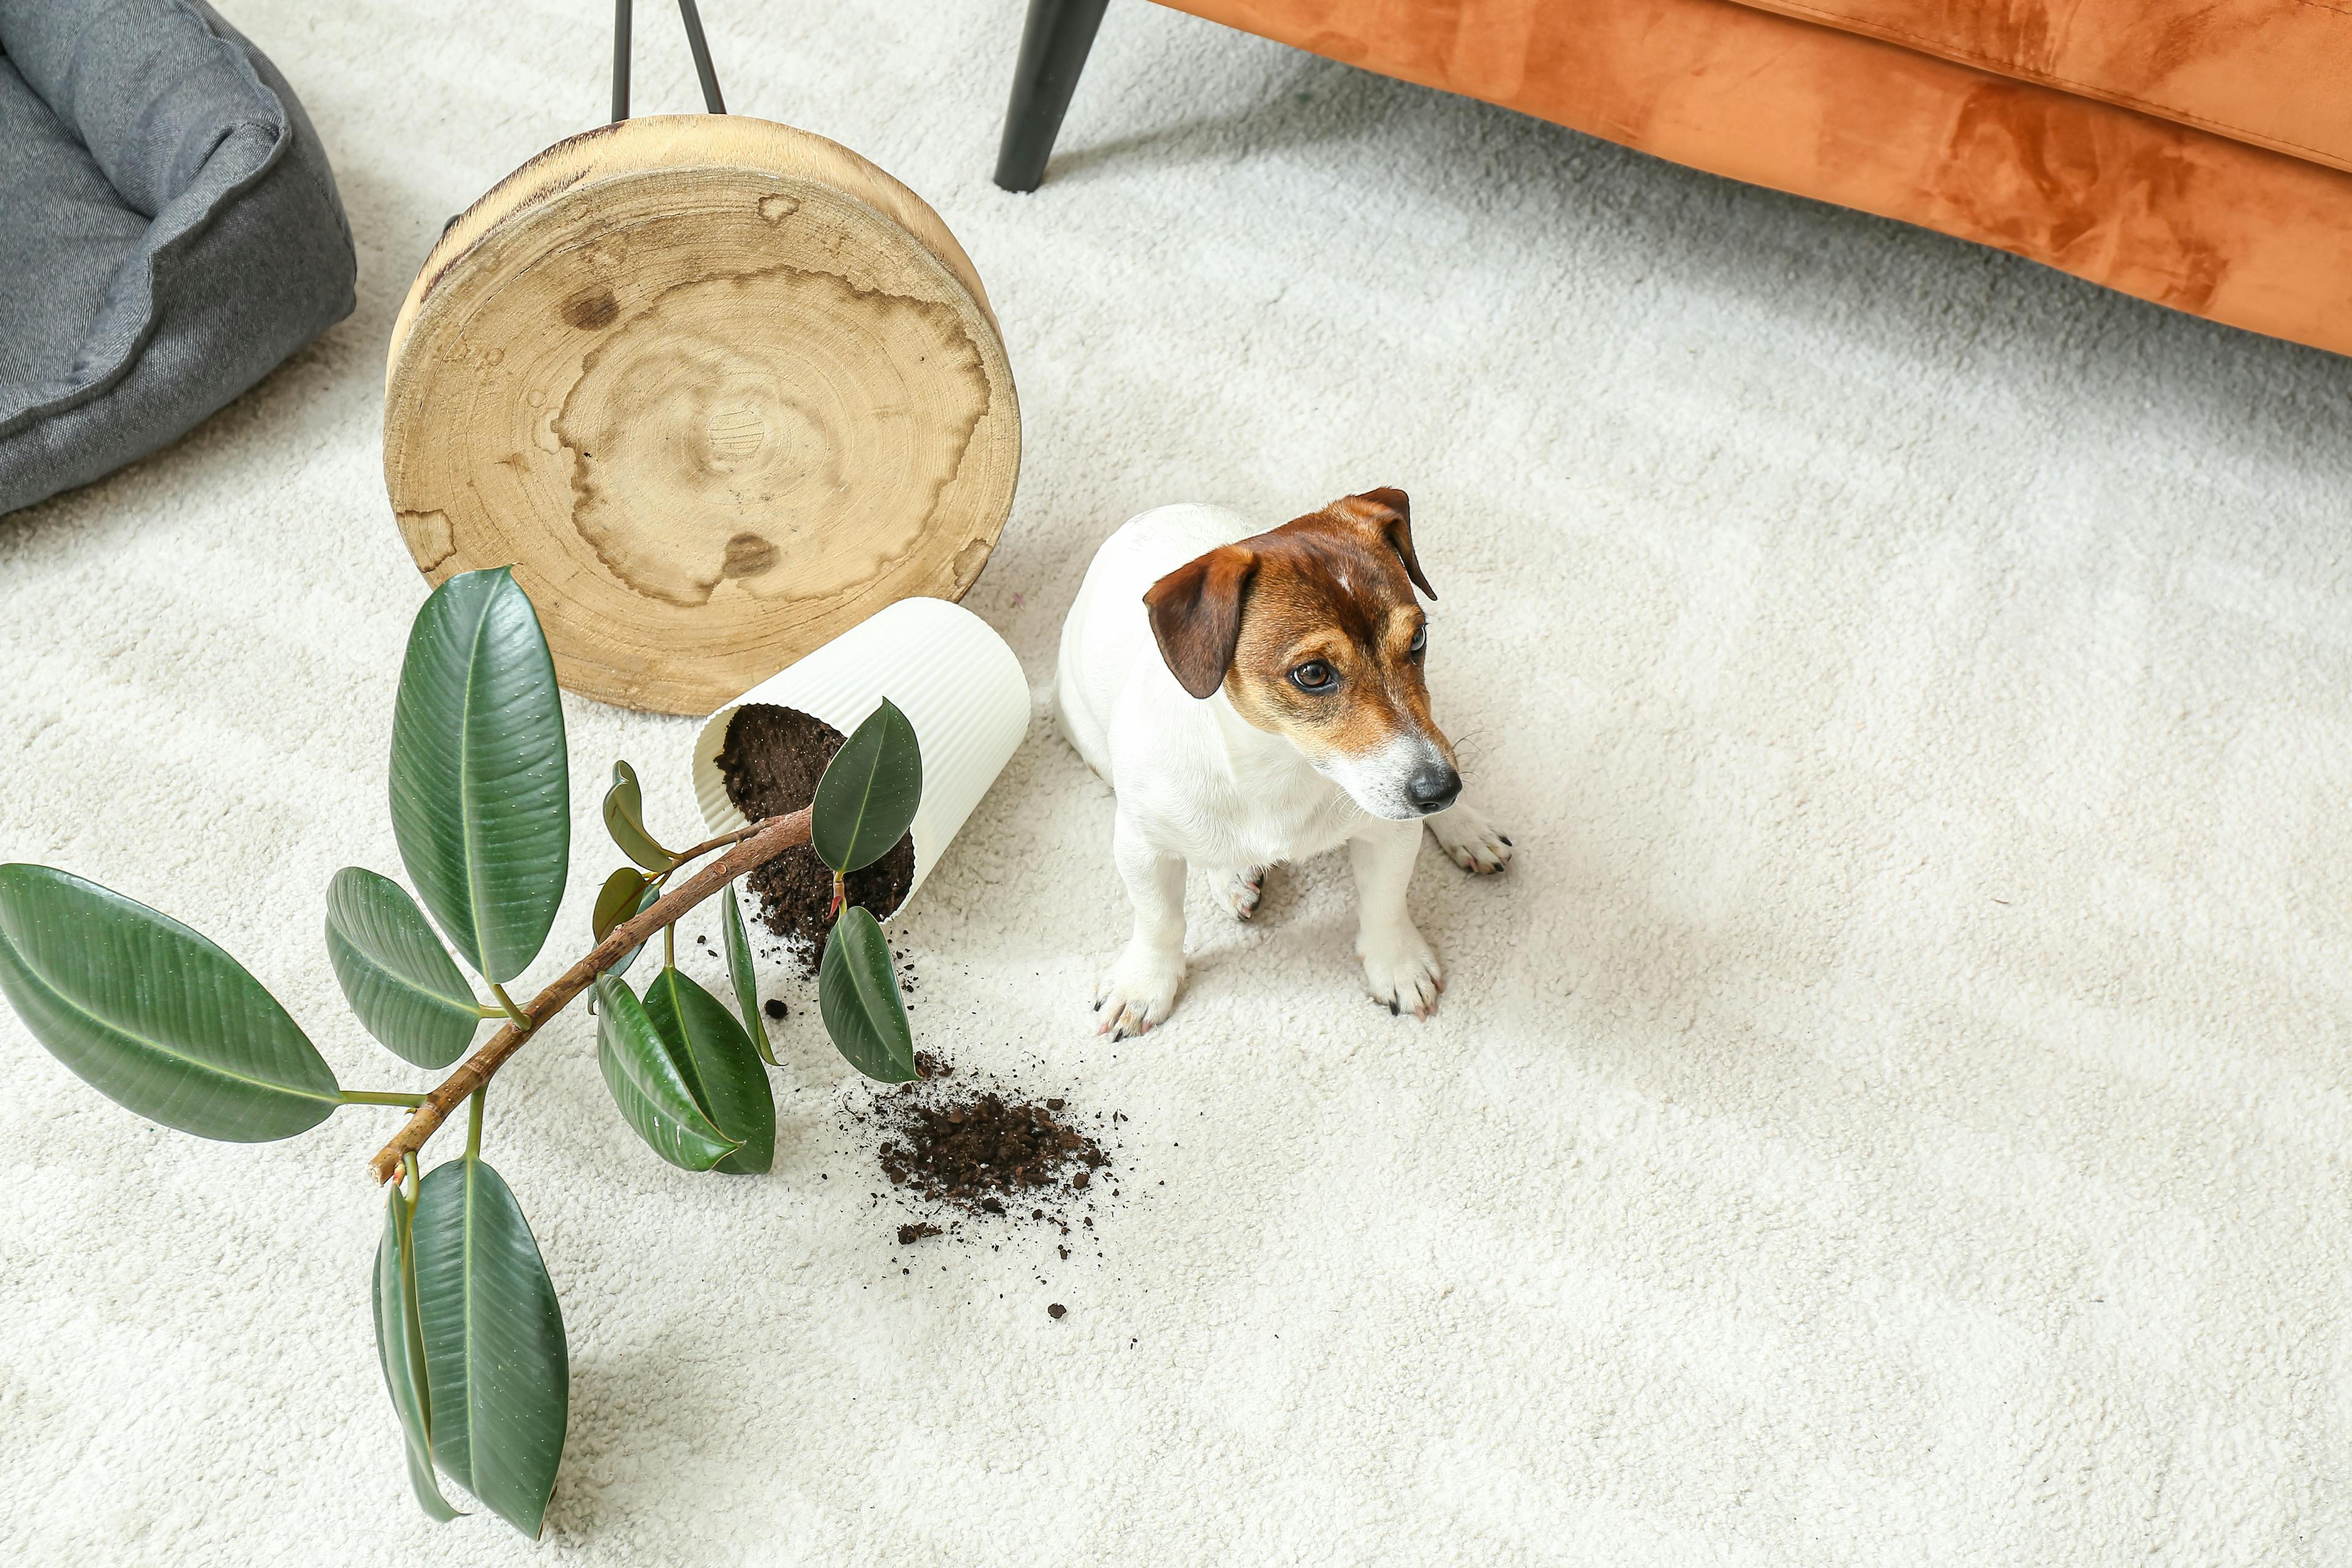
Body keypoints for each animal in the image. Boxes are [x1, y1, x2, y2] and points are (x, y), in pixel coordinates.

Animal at [1058, 484, 1514, 1034]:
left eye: (1418, 639)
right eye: (1313, 673)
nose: (1441, 790)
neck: (1281, 765)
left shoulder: (1391, 829)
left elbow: (1385, 904)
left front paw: (1398, 965)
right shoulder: (1142, 847)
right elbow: (1158, 921)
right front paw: (1144, 985)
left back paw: (1467, 828)